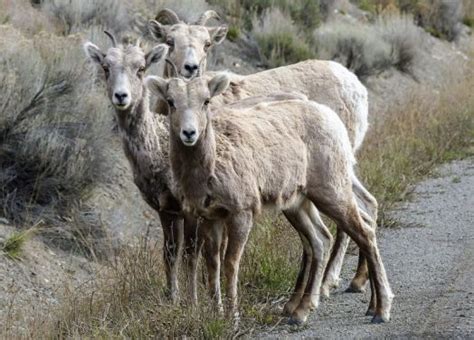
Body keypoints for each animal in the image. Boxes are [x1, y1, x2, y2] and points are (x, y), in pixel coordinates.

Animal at [146, 8, 376, 294]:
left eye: (206, 44)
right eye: (170, 41)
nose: (191, 69)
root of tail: (354, 85)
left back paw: (327, 284)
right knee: (367, 206)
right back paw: (355, 281)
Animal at [147, 73, 392, 324]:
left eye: (206, 101)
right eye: (171, 102)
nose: (189, 133)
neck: (209, 169)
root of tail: (332, 119)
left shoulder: (241, 213)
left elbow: (230, 263)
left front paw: (233, 317)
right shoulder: (211, 217)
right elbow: (212, 263)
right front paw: (217, 314)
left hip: (333, 192)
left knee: (364, 234)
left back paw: (380, 310)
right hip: (298, 203)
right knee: (320, 239)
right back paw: (302, 312)